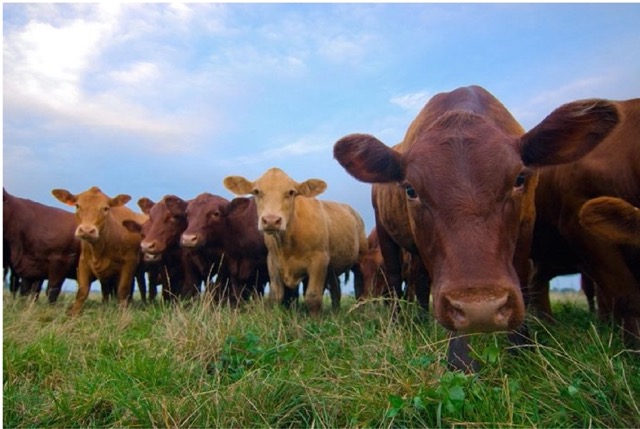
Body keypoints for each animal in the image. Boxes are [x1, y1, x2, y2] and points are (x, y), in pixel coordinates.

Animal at [51, 186, 148, 316]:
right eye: (77, 205)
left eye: (105, 208)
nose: (87, 230)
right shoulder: (84, 262)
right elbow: (82, 290)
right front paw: (73, 313)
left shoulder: (130, 262)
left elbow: (123, 290)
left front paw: (123, 313)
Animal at [224, 167, 368, 314]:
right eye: (257, 191)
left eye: (291, 192)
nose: (271, 220)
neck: (287, 244)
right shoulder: (272, 261)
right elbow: (276, 295)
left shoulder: (319, 260)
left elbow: (313, 296)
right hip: (332, 267)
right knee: (336, 288)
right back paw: (336, 312)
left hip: (360, 256)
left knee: (359, 285)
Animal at [332, 85, 616, 370]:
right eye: (411, 190)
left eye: (519, 178)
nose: (481, 309)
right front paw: (460, 357)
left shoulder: (526, 226)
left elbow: (521, 277)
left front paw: (520, 346)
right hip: (386, 233)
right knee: (395, 280)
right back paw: (399, 323)